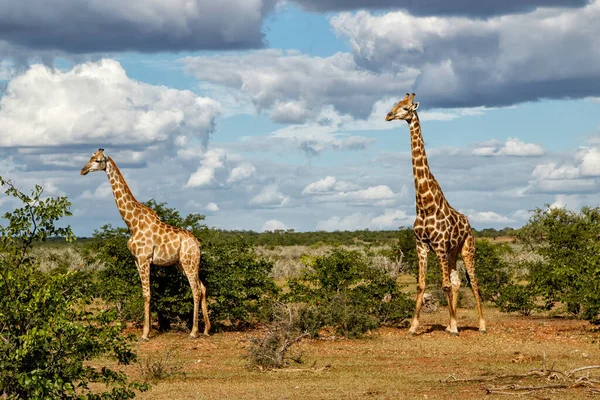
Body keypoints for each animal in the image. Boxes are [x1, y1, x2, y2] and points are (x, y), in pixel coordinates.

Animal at [79, 148, 211, 340]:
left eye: (97, 160)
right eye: (90, 157)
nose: (83, 170)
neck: (132, 223)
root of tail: (197, 244)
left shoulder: (144, 258)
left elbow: (147, 294)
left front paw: (145, 333)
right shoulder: (136, 259)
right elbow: (145, 293)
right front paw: (146, 330)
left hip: (189, 262)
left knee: (196, 290)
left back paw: (194, 331)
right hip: (184, 262)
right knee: (203, 287)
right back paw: (207, 329)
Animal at [384, 93, 488, 334]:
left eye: (405, 108)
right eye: (394, 104)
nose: (388, 115)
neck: (424, 203)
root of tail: (469, 223)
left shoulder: (439, 245)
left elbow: (445, 285)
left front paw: (455, 326)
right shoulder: (421, 246)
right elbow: (421, 285)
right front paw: (414, 327)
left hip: (467, 249)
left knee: (474, 282)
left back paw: (480, 324)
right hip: (452, 252)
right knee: (458, 281)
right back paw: (451, 324)